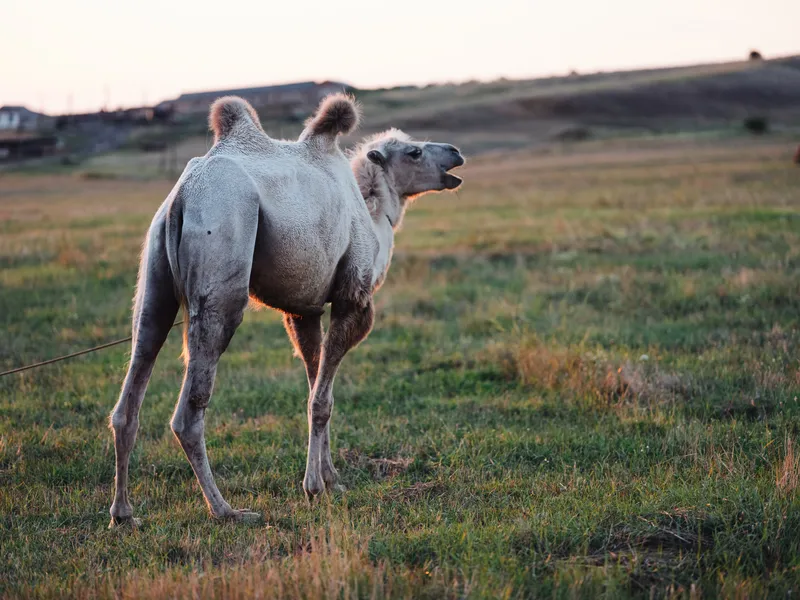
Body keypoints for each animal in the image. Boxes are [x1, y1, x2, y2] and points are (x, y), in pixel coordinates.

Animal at [108, 94, 465, 525]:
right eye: (414, 151)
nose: (455, 152)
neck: (374, 217)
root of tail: (183, 195)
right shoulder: (352, 298)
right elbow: (321, 400)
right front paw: (313, 487)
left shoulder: (303, 310)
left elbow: (317, 387)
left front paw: (331, 478)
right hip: (223, 257)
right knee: (189, 412)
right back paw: (226, 510)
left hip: (154, 278)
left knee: (133, 383)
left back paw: (123, 513)